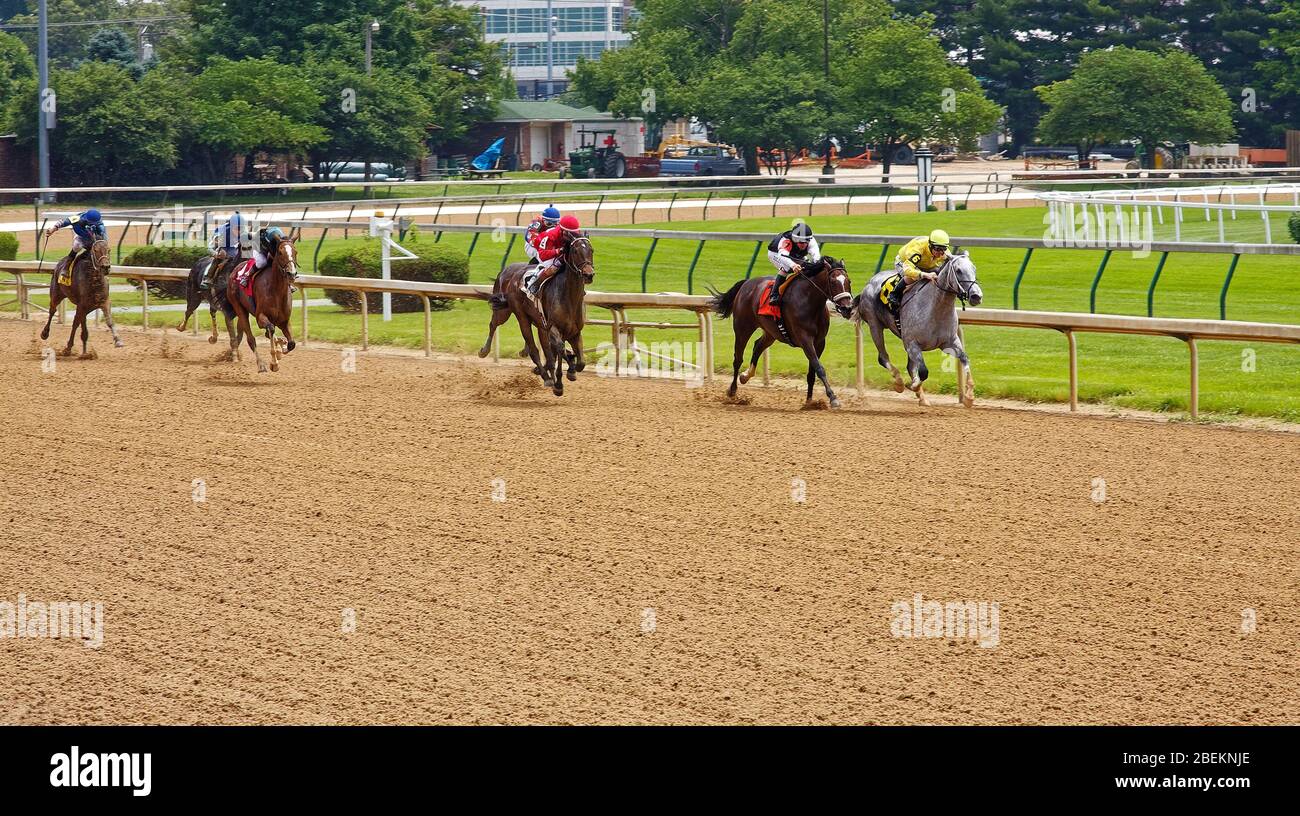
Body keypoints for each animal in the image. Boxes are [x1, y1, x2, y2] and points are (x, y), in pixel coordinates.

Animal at [228, 237, 301, 374]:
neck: (276, 291)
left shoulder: (284, 321)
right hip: (239, 308)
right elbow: (271, 329)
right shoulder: (260, 317)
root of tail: (235, 270)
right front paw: (274, 363)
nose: (292, 274)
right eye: (280, 252)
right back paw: (261, 364)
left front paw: (281, 348)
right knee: (251, 339)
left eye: (295, 251)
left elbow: (292, 343)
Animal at [480, 233, 595, 397]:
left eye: (591, 250)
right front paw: (558, 384)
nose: (588, 274)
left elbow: (580, 362)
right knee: (498, 327)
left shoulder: (575, 332)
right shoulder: (553, 328)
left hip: (538, 323)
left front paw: (570, 370)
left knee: (543, 349)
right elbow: (559, 349)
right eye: (575, 251)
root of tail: (507, 271)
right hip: (512, 313)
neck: (569, 296)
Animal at [712, 254, 852, 408]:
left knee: (757, 346)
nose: (847, 308)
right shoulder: (805, 339)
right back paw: (732, 391)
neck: (809, 301)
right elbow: (819, 368)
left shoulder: (820, 342)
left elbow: (812, 371)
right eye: (833, 282)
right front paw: (833, 398)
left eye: (849, 281)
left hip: (771, 332)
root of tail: (747, 283)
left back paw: (745, 376)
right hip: (743, 328)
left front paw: (809, 401)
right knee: (738, 358)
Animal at [852, 252, 982, 408]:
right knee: (883, 358)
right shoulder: (913, 344)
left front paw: (969, 397)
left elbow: (964, 359)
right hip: (875, 325)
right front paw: (912, 385)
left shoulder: (950, 342)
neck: (935, 308)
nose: (976, 296)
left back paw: (922, 398)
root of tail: (869, 283)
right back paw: (899, 383)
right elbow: (923, 372)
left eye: (974, 268)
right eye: (958, 270)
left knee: (909, 366)